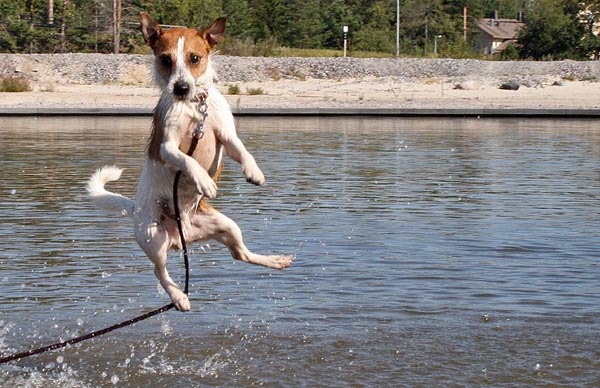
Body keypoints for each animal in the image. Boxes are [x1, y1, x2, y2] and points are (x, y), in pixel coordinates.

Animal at [88, 12, 294, 312]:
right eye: (165, 59)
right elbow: (186, 160)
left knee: (240, 255)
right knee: (159, 272)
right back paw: (179, 297)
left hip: (227, 226)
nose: (181, 88)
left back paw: (275, 261)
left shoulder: (227, 136)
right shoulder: (167, 147)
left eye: (195, 58)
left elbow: (244, 151)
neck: (194, 106)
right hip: (154, 237)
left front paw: (254, 172)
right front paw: (203, 181)